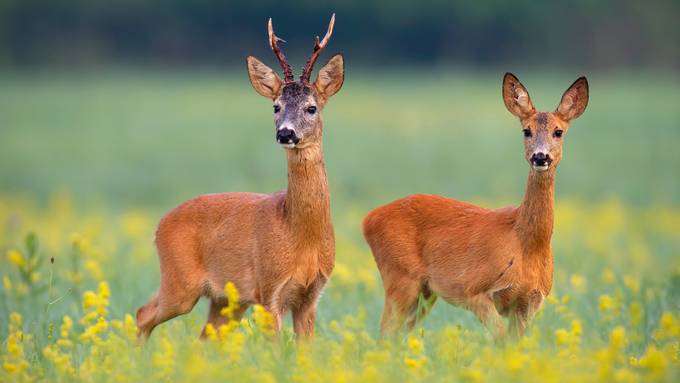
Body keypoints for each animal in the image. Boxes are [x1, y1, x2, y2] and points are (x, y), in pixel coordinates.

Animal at [137, 13, 346, 340]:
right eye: (276, 106)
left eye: (311, 107)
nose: (285, 133)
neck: (300, 237)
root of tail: (159, 226)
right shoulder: (268, 289)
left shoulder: (311, 296)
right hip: (180, 283)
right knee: (142, 315)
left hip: (225, 300)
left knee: (203, 336)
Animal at [362, 73, 588, 340]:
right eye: (526, 130)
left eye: (558, 132)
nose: (540, 157)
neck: (525, 244)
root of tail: (368, 219)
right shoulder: (475, 290)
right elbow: (501, 340)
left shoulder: (529, 303)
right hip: (399, 276)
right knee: (384, 334)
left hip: (425, 292)